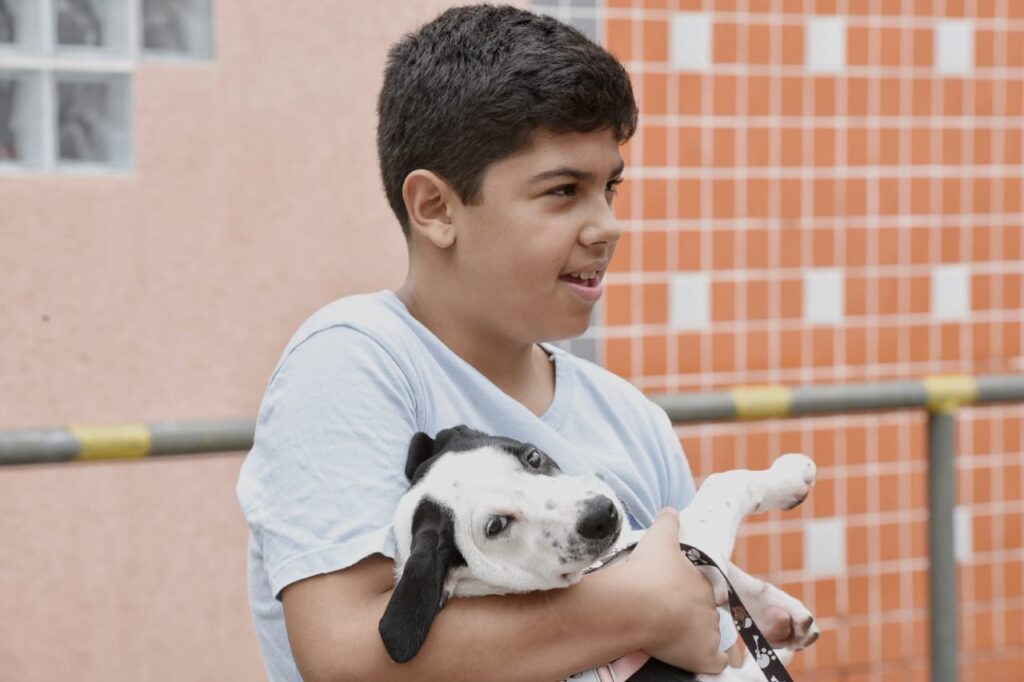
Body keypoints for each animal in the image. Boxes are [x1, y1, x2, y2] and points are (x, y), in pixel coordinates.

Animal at [380, 421, 819, 675]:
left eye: (533, 457)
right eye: (495, 526)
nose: (601, 515)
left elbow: (724, 573)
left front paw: (777, 613)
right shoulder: (684, 543)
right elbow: (724, 485)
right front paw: (787, 476)